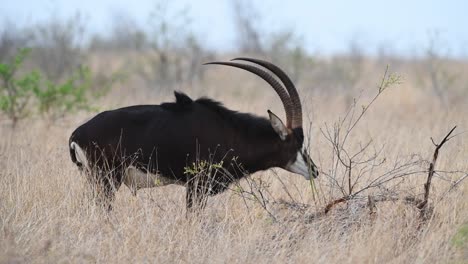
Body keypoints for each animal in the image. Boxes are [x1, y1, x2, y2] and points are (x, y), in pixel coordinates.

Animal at [68, 57, 318, 210]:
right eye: (298, 144)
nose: (314, 170)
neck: (232, 132)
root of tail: (76, 135)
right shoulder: (197, 185)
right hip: (107, 180)